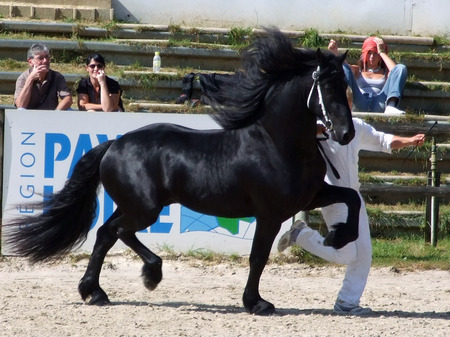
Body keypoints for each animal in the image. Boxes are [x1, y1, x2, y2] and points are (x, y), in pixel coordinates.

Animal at [6, 27, 358, 314]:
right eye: (325, 87)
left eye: (345, 85)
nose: (345, 134)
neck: (276, 143)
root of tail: (115, 144)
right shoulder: (270, 213)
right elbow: (258, 257)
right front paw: (257, 303)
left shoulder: (309, 196)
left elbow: (352, 198)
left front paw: (340, 237)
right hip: (145, 208)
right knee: (118, 232)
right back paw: (147, 276)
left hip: (133, 205)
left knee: (106, 233)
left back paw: (97, 292)